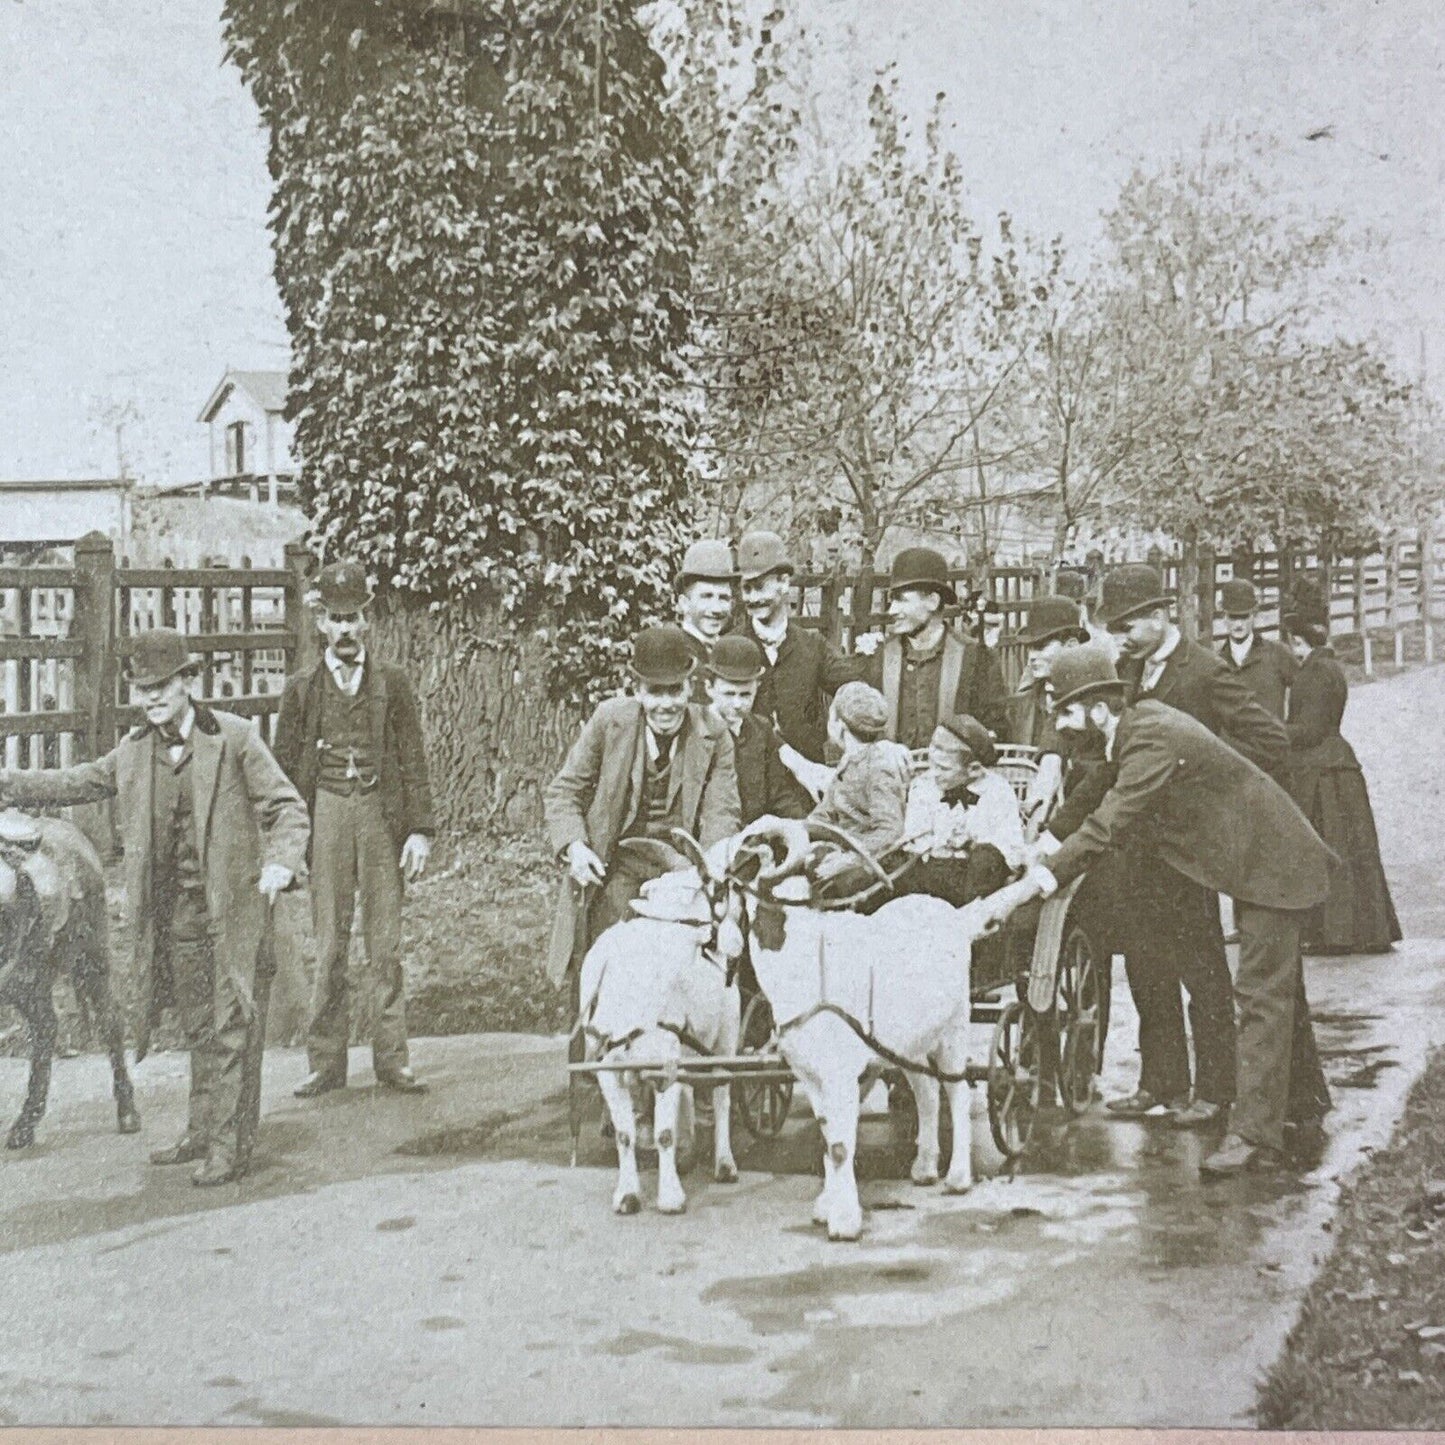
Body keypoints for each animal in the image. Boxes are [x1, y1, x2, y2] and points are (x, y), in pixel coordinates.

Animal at [575, 867, 739, 1219]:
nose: (733, 944)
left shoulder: (666, 1065)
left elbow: (664, 1134)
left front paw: (671, 1198)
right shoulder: (609, 1071)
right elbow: (625, 1135)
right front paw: (627, 1196)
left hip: (726, 1035)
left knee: (722, 1094)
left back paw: (724, 1164)